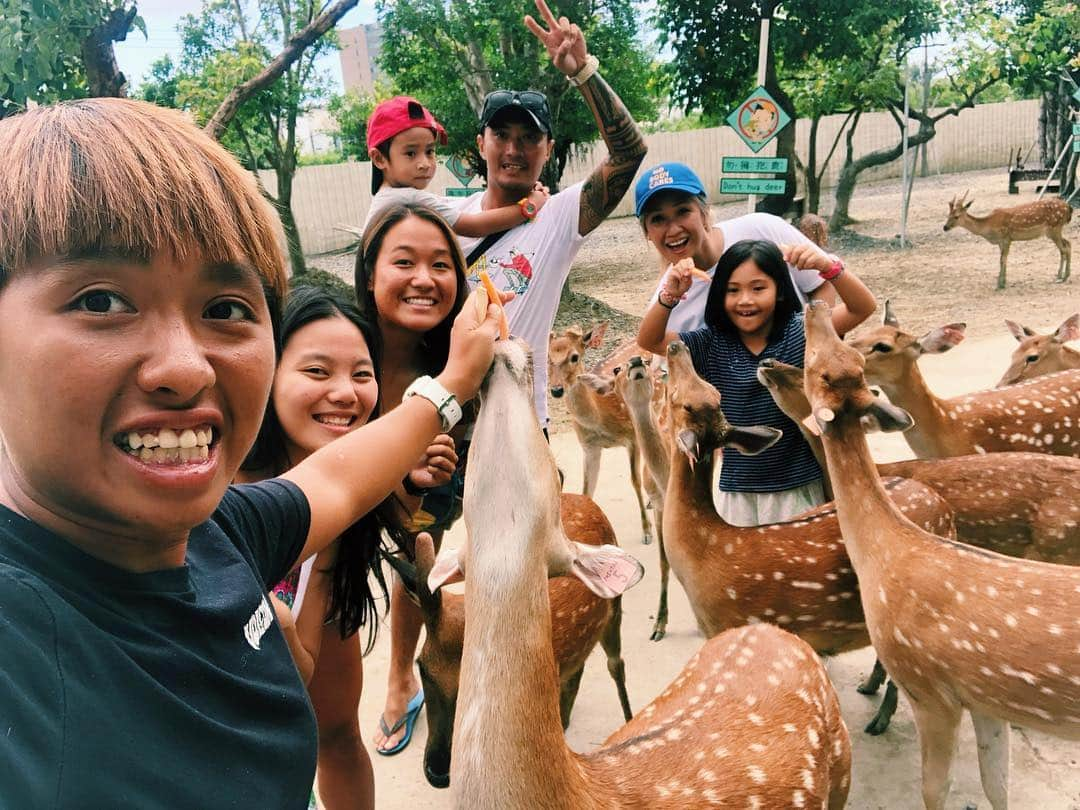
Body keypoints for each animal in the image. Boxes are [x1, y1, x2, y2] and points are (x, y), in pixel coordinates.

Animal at [544, 324, 652, 546]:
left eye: (574, 356)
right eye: (548, 357)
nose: (557, 390)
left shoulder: (633, 437)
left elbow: (634, 480)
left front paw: (647, 532)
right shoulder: (589, 446)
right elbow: (587, 488)